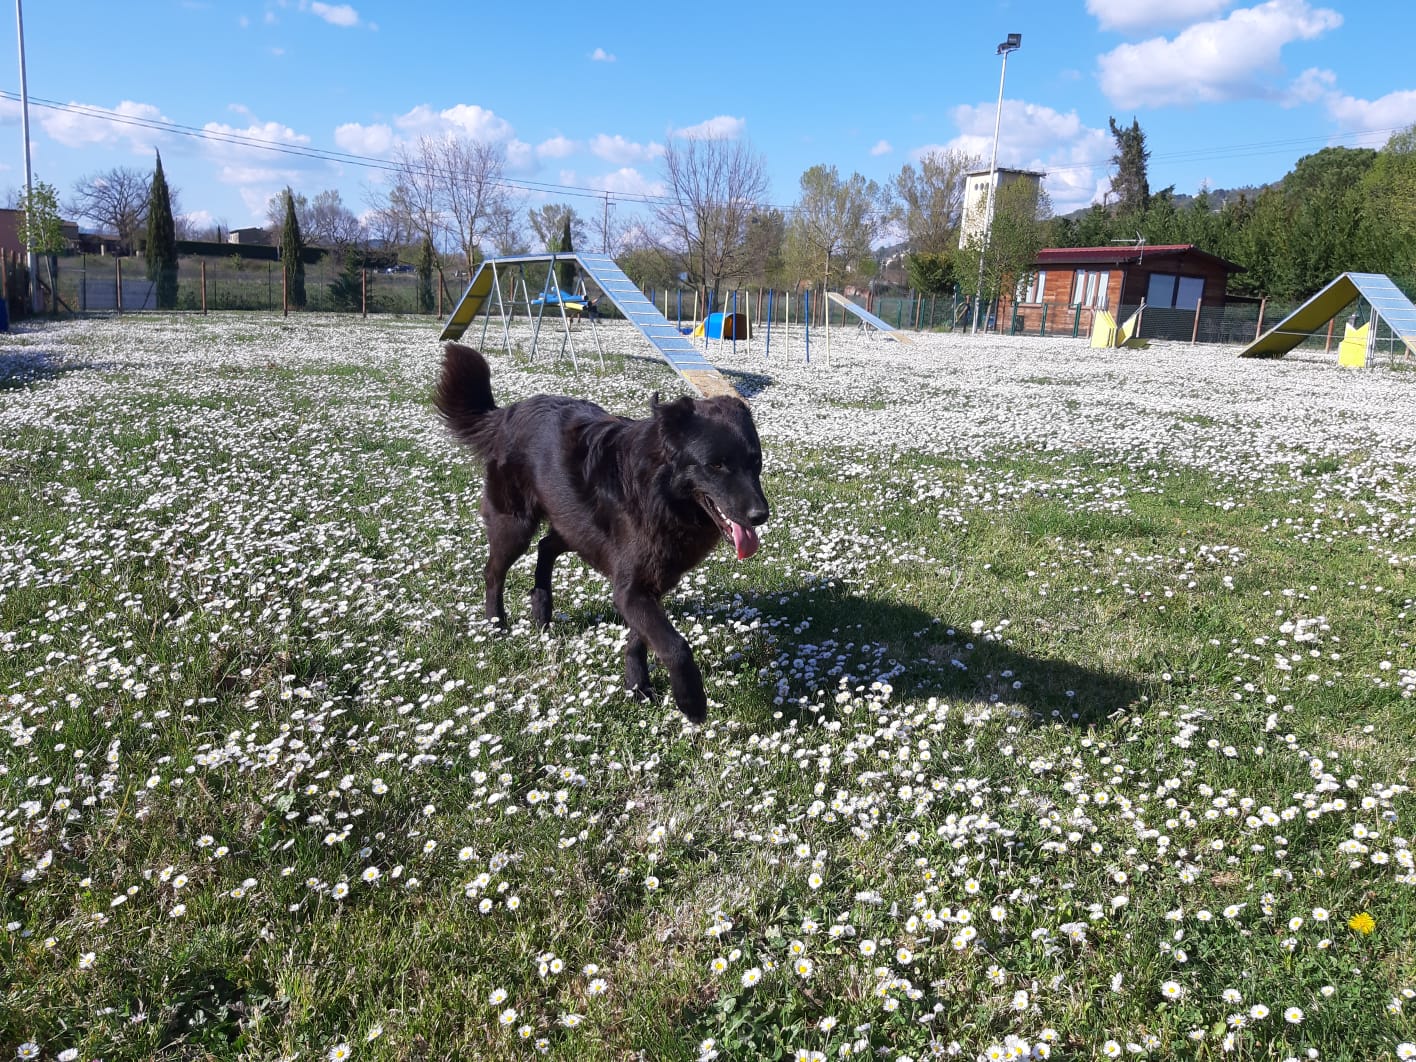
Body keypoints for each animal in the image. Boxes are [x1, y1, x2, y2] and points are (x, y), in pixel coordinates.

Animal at [434, 342, 769, 723]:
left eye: (755, 462)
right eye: (716, 465)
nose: (760, 516)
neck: (660, 492)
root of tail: (506, 413)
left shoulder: (647, 582)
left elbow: (640, 639)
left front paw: (637, 686)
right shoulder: (631, 587)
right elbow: (674, 645)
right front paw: (691, 701)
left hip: (575, 526)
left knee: (546, 547)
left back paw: (541, 610)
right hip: (515, 526)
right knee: (493, 571)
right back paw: (496, 623)